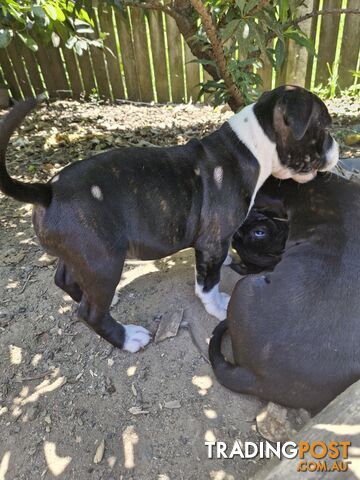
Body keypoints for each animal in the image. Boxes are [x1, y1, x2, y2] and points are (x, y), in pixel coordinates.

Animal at [0, 87, 338, 352]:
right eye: (324, 128)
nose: (336, 147)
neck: (254, 146)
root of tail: (48, 190)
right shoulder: (211, 242)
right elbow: (208, 284)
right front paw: (219, 306)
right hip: (103, 261)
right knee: (90, 314)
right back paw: (127, 338)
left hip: (82, 255)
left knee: (64, 279)